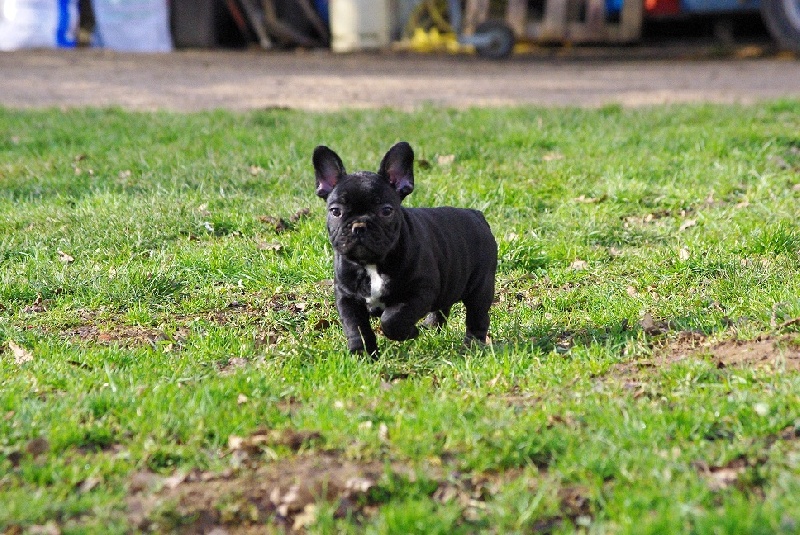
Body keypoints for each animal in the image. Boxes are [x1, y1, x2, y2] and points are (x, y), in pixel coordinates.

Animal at [310, 141, 494, 356]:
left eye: (386, 211)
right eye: (335, 212)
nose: (359, 226)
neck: (371, 264)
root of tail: (477, 215)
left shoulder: (419, 292)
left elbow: (392, 318)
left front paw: (409, 332)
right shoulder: (347, 297)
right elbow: (355, 327)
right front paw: (363, 353)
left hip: (481, 287)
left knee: (477, 316)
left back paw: (472, 346)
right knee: (443, 307)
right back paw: (430, 326)